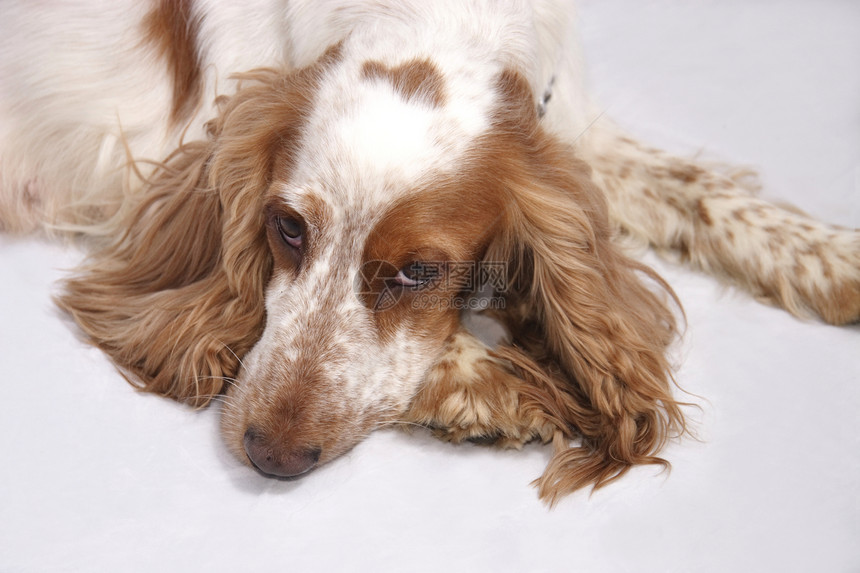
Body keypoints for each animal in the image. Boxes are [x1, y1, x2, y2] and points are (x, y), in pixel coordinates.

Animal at [0, 0, 856, 500]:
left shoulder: (571, 133)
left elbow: (693, 188)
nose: (271, 454)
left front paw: (828, 254)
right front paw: (492, 384)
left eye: (418, 270)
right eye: (287, 228)